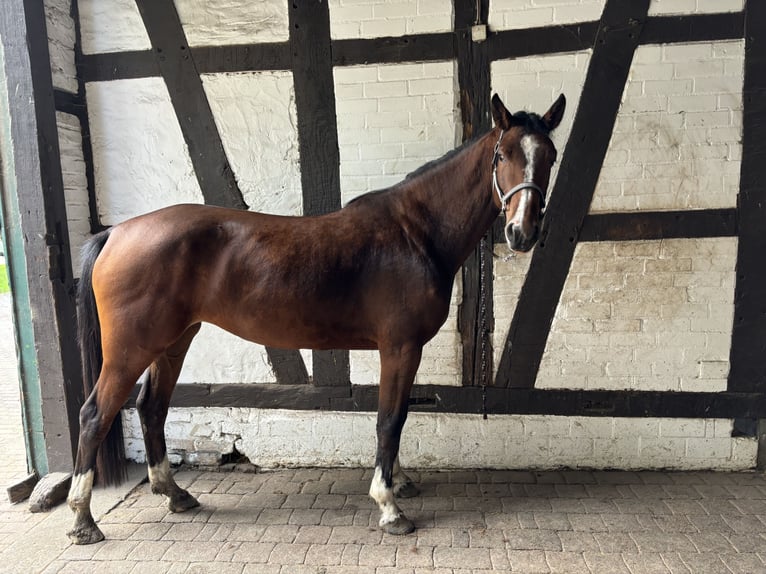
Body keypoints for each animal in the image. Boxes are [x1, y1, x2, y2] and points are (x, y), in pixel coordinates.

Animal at [67, 93, 564, 544]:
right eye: (503, 154)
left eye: (550, 157)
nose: (522, 233)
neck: (415, 234)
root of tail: (117, 232)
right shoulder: (400, 347)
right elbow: (390, 419)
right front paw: (389, 507)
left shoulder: (402, 349)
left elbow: (397, 415)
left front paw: (399, 482)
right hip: (131, 350)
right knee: (94, 414)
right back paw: (83, 521)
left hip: (173, 341)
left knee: (151, 407)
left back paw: (175, 494)